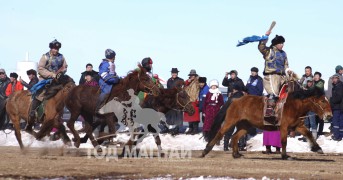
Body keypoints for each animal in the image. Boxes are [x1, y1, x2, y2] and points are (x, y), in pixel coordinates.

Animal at [202, 87, 334, 160]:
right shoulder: (284, 127)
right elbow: (284, 141)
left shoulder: (298, 126)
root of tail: (236, 99)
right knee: (220, 133)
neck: (293, 105)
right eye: (322, 101)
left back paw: (236, 154)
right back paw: (205, 151)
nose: (329, 115)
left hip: (245, 125)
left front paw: (318, 148)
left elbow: (309, 134)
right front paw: (285, 156)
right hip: (230, 121)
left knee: (235, 137)